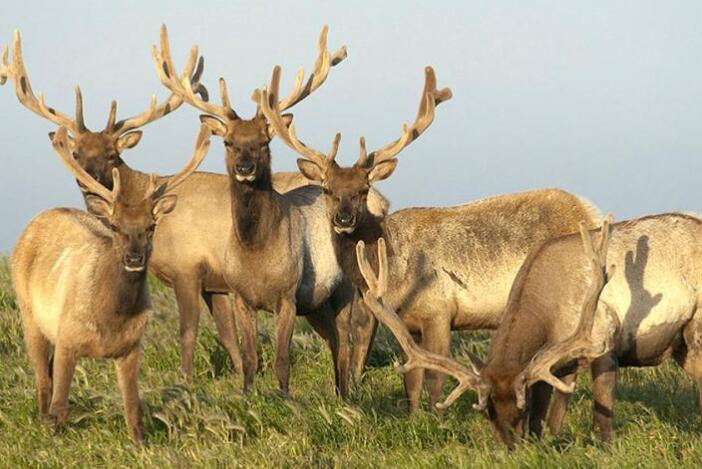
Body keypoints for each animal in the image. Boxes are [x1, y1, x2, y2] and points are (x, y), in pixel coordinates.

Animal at [10, 124, 212, 442]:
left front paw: (140, 443)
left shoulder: (131, 346)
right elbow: (59, 405)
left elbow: (133, 408)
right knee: (43, 380)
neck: (110, 317)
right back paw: (40, 418)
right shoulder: (68, 337)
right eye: (115, 226)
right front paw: (52, 436)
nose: (134, 257)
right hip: (29, 313)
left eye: (151, 226)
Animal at [262, 65, 604, 410]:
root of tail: (593, 213)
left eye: (363, 190)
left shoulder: (439, 311)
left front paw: (438, 414)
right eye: (327, 190)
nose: (344, 220)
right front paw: (415, 414)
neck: (392, 268)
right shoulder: (406, 322)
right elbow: (411, 383)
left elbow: (435, 380)